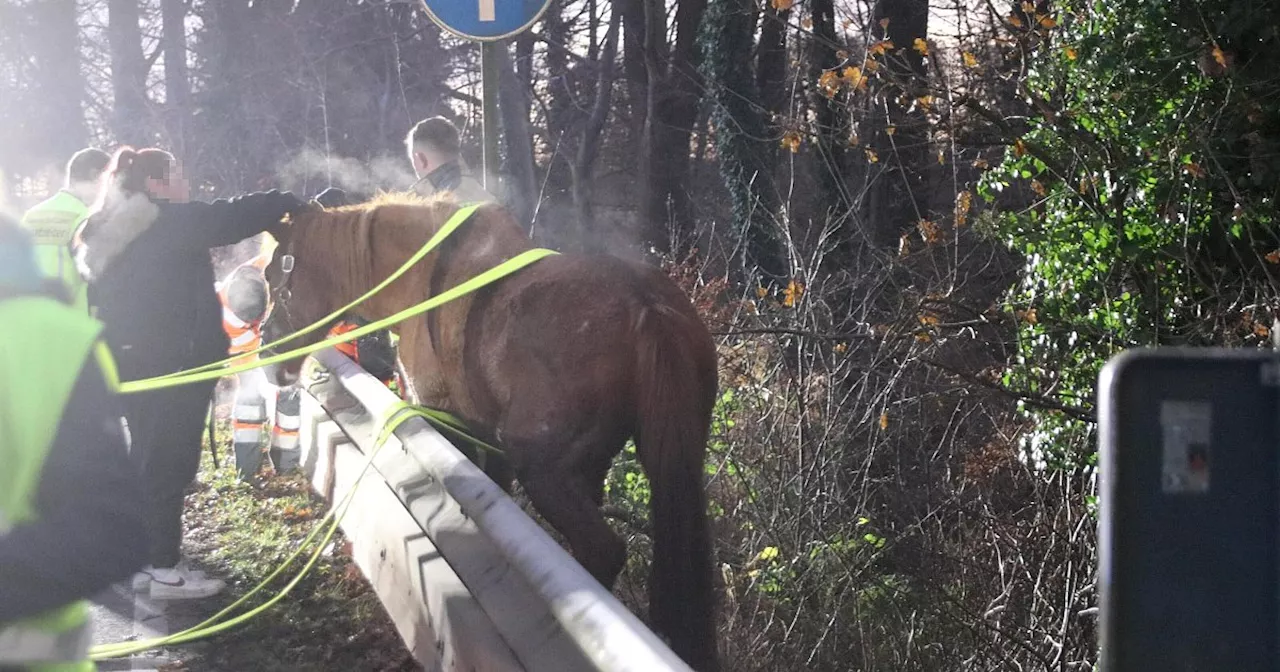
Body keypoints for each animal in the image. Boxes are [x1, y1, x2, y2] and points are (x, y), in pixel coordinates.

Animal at [262, 190, 721, 665]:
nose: (266, 351)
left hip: (544, 471)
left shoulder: (441, 417)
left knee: (603, 550)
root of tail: (648, 309)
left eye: (273, 277)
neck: (418, 282)